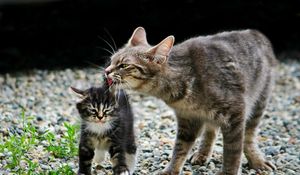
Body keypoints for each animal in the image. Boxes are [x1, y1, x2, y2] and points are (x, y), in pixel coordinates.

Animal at [104, 26, 278, 174]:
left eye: (124, 65)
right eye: (112, 60)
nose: (106, 71)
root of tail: (255, 32)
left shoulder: (235, 112)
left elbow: (233, 152)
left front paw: (228, 172)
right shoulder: (187, 119)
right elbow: (180, 148)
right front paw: (171, 171)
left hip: (259, 102)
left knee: (248, 135)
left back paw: (257, 161)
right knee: (211, 130)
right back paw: (202, 153)